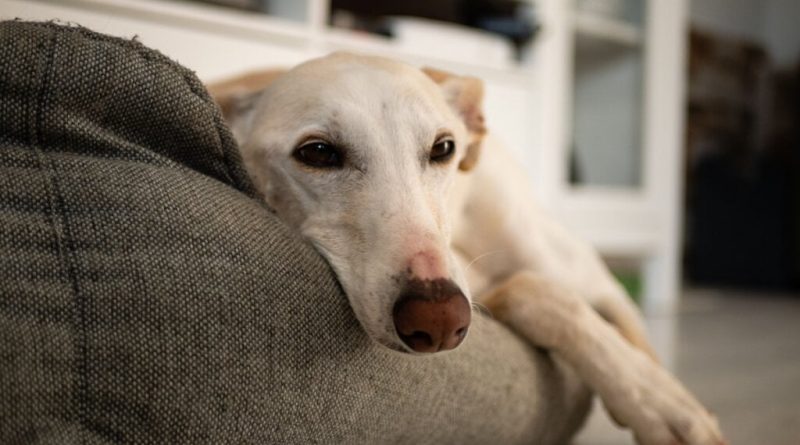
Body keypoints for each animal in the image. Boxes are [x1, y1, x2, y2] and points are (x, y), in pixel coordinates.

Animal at [209, 53, 728, 444]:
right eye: (317, 152)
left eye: (443, 148)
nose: (439, 321)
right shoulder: (477, 289)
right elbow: (531, 292)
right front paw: (658, 403)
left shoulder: (604, 289)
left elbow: (635, 343)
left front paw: (663, 402)